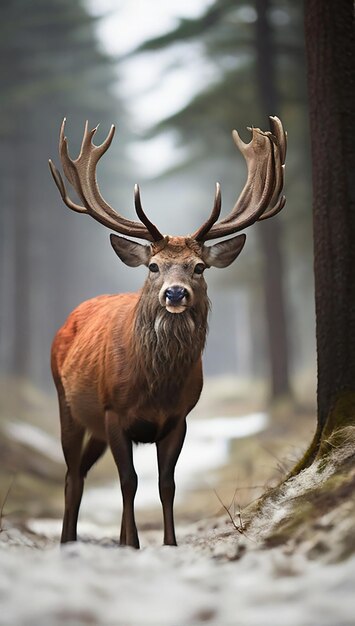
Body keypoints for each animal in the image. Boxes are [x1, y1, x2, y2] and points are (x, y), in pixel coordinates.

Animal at [48, 114, 288, 544]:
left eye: (200, 267)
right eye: (153, 266)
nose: (175, 293)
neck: (155, 387)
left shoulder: (179, 417)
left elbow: (166, 484)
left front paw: (167, 542)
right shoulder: (114, 411)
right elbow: (129, 481)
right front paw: (132, 544)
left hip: (94, 425)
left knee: (82, 472)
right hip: (68, 403)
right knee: (72, 475)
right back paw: (67, 541)